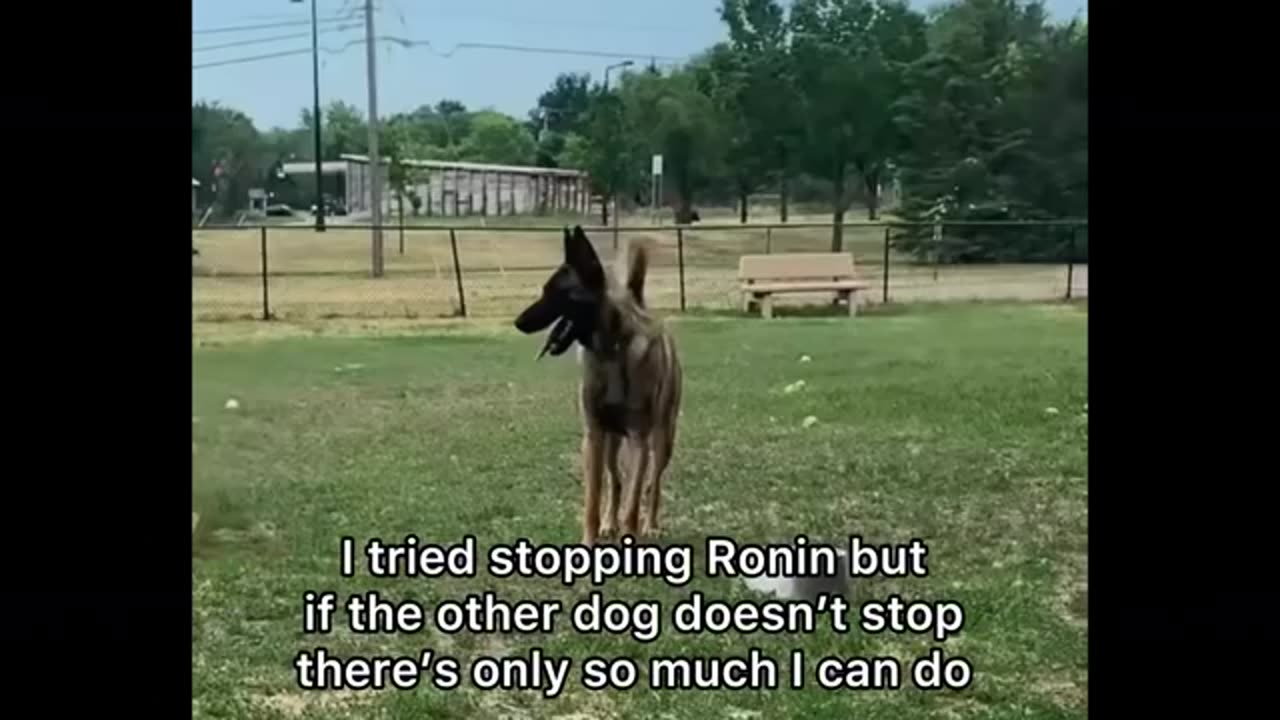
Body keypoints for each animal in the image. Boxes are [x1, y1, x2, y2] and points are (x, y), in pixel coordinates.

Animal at [514, 226, 686, 540]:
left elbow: (633, 501)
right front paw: (590, 539)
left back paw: (651, 524)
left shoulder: (639, 439)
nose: (517, 322)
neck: (610, 353)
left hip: (662, 439)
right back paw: (609, 522)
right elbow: (593, 500)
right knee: (615, 481)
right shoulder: (593, 437)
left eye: (556, 293)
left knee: (653, 483)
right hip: (610, 442)